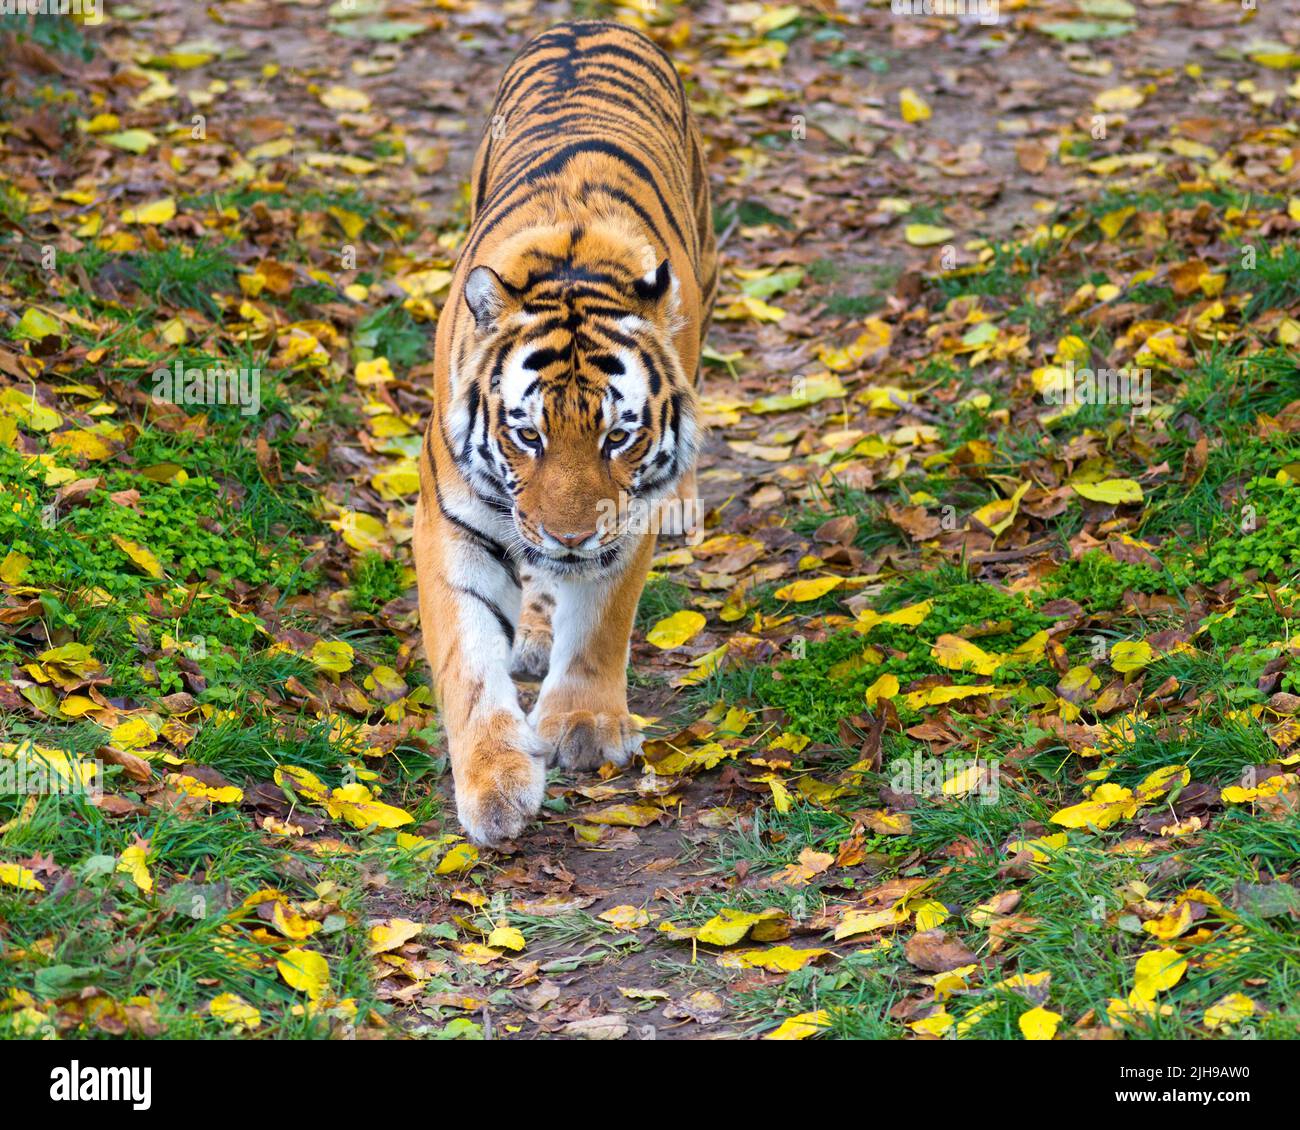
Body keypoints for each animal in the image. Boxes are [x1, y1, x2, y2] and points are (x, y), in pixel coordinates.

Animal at [416, 19, 717, 847]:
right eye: (526, 434)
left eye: (617, 437)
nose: (570, 536)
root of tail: (590, 21)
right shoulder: (452, 522)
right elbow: (468, 662)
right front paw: (494, 784)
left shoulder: (626, 514)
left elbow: (603, 622)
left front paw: (583, 724)